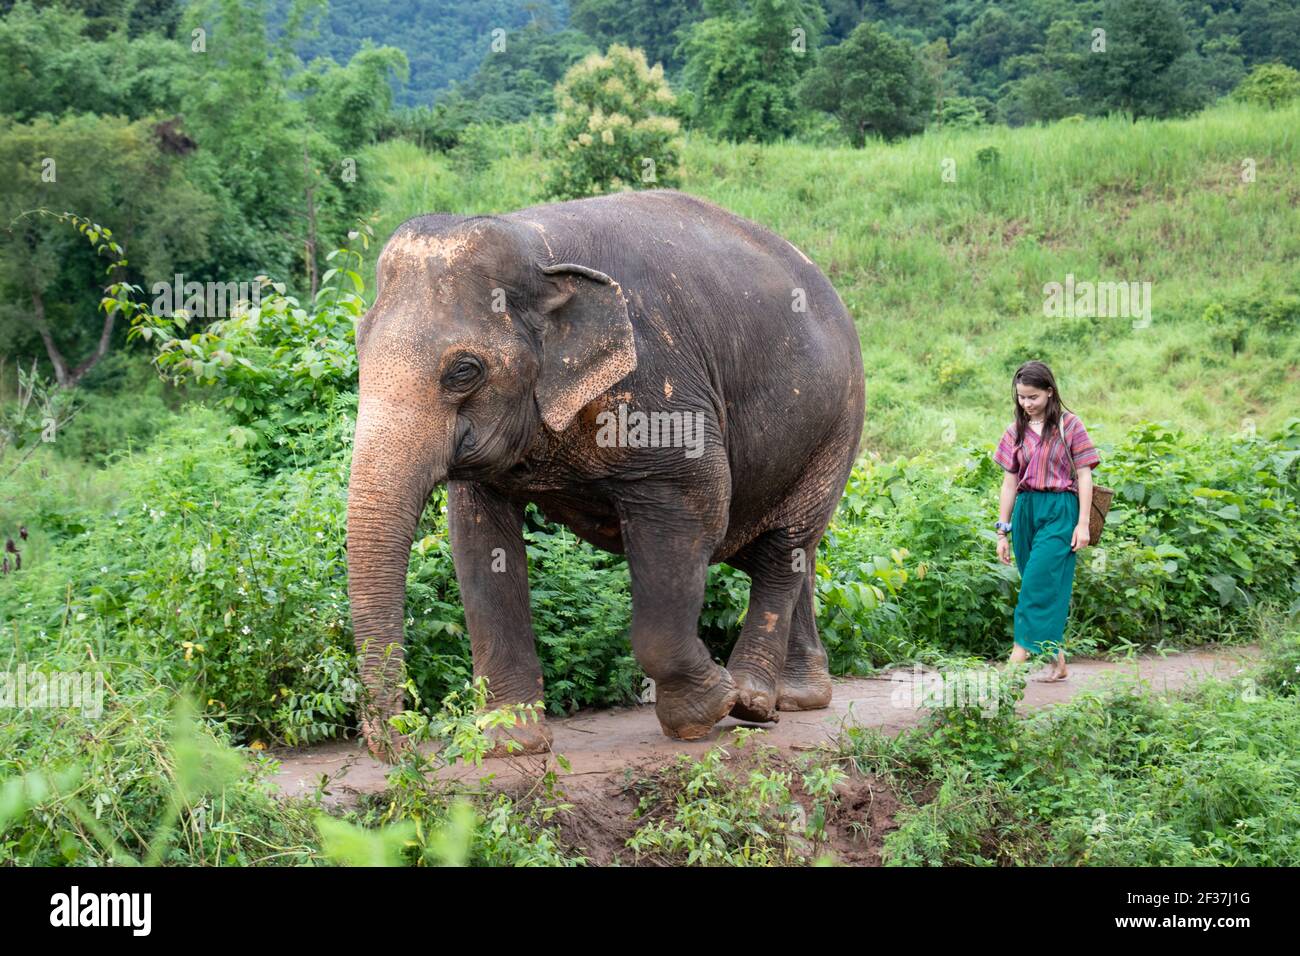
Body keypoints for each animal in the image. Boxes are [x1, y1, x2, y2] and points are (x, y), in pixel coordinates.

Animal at [348, 188, 863, 764]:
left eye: (463, 371)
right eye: (358, 349)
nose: (403, 747)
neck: (537, 250)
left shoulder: (662, 389)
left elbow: (695, 508)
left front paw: (705, 711)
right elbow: (479, 544)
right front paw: (512, 742)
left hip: (837, 425)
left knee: (782, 548)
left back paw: (751, 701)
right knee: (792, 551)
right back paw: (797, 698)